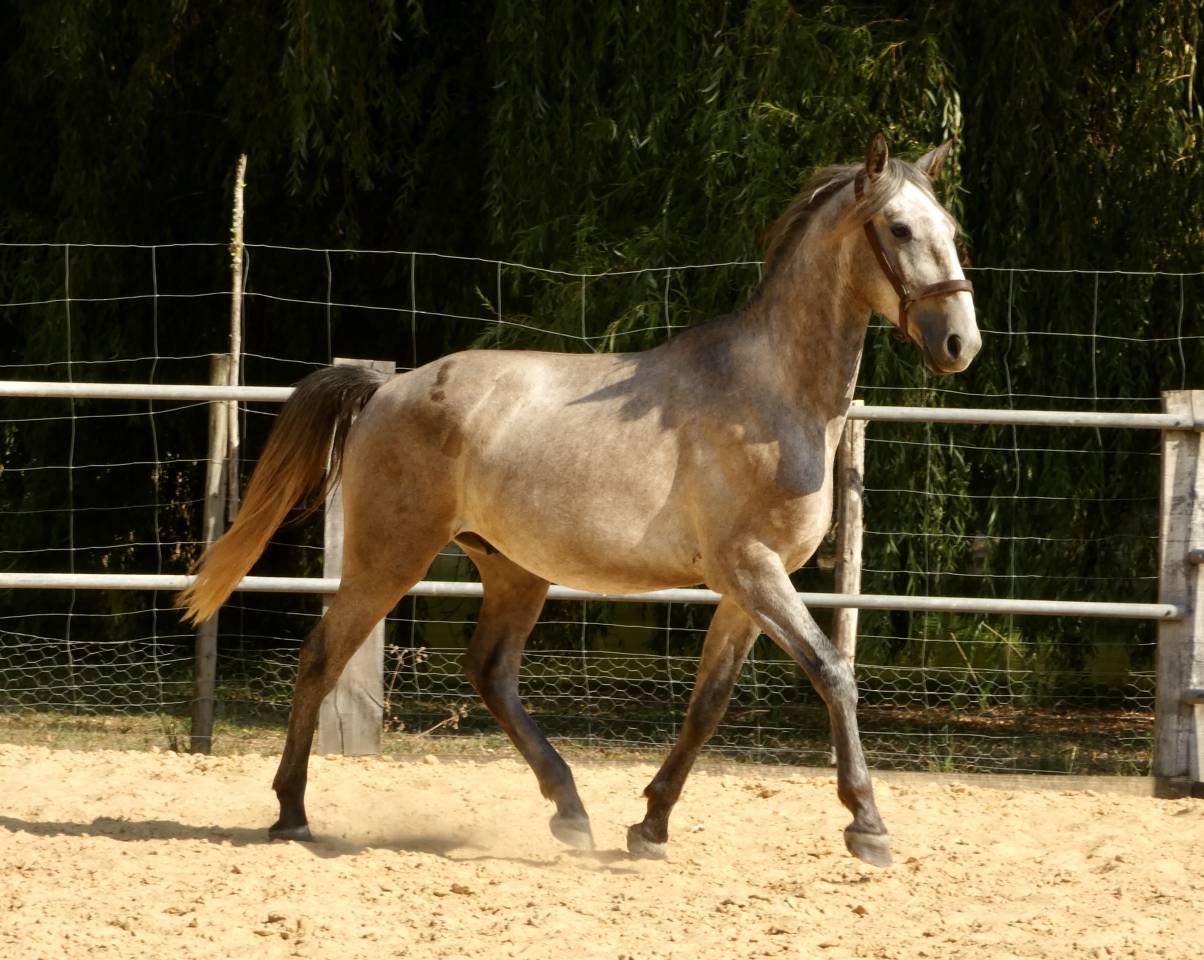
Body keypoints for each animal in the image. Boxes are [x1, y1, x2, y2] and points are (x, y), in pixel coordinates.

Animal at [179, 133, 980, 867]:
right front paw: (867, 826)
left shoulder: (744, 586)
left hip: (512, 568)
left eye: (950, 227)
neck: (769, 395)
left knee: (490, 671)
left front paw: (651, 826)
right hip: (391, 556)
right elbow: (833, 673)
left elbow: (709, 702)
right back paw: (291, 813)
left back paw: (571, 811)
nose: (960, 344)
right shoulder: (753, 569)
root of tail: (386, 388)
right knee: (323, 656)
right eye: (900, 229)